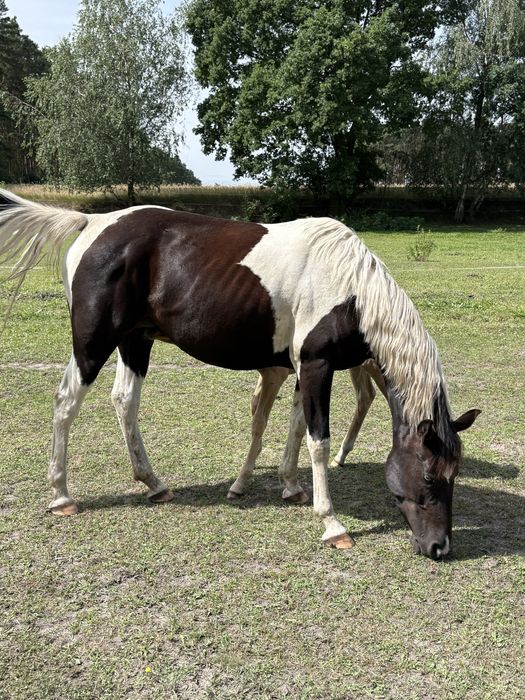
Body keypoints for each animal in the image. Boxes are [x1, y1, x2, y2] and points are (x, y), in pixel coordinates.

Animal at [0, 189, 480, 559]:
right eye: (431, 476)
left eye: (455, 474)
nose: (440, 548)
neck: (351, 292)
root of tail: (91, 222)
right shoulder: (317, 366)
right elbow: (318, 441)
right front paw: (331, 524)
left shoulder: (299, 369)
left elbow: (294, 428)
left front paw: (290, 487)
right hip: (93, 345)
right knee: (66, 402)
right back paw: (61, 495)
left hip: (136, 342)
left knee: (124, 402)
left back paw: (154, 484)